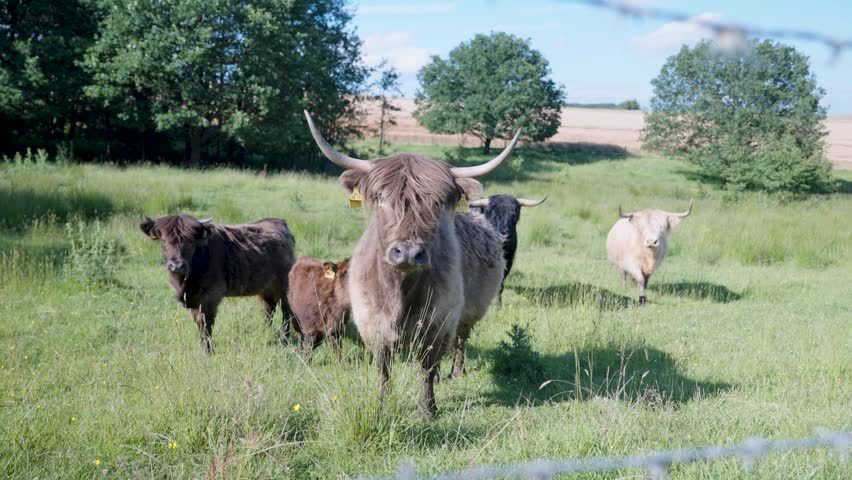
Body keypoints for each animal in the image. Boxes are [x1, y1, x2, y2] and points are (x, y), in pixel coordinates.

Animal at [139, 214, 296, 352]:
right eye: (163, 241)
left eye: (190, 241)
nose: (176, 265)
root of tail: (278, 221)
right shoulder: (192, 300)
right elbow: (198, 323)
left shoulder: (211, 296)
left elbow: (206, 324)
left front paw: (208, 350)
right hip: (266, 287)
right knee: (269, 309)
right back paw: (267, 333)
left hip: (284, 284)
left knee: (286, 310)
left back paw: (285, 338)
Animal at [304, 110, 507, 418]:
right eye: (383, 198)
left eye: (437, 203)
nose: (408, 253)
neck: (400, 290)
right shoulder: (371, 321)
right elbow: (383, 366)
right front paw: (382, 402)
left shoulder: (439, 320)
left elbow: (426, 365)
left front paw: (427, 410)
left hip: (470, 311)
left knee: (460, 341)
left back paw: (456, 371)